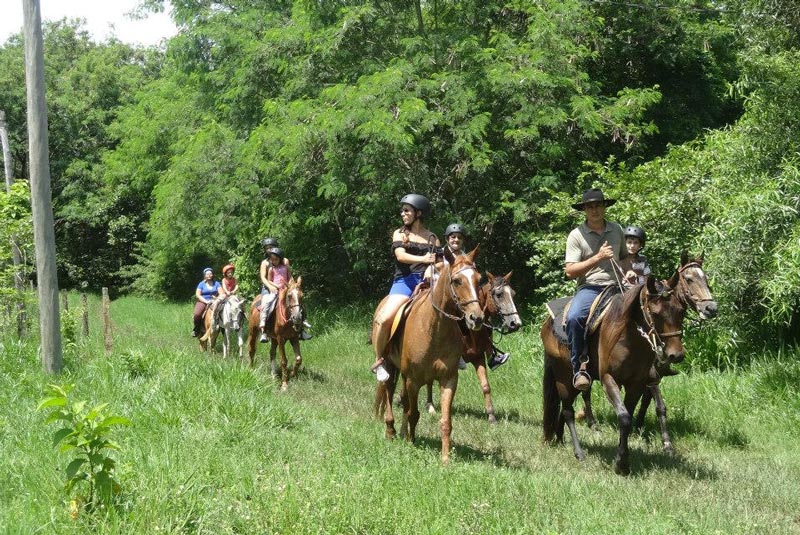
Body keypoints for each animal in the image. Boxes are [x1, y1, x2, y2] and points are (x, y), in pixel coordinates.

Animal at [374, 249, 482, 462]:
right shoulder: (414, 380)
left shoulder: (448, 379)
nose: (477, 318)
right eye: (457, 280)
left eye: (478, 279)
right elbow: (413, 413)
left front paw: (445, 458)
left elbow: (445, 421)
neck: (434, 328)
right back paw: (390, 430)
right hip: (389, 364)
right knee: (389, 391)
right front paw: (411, 443)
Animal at [422, 272, 520, 422]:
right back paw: (430, 406)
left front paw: (491, 416)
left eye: (513, 294)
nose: (516, 323)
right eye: (499, 295)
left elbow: (485, 386)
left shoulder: (478, 357)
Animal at [544, 274, 688, 476]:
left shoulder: (637, 384)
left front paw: (622, 458)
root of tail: (547, 323)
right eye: (655, 313)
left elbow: (628, 416)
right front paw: (622, 463)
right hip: (563, 377)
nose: (676, 355)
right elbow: (624, 418)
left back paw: (558, 438)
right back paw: (578, 452)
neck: (628, 337)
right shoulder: (608, 380)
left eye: (681, 311)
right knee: (568, 411)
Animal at [576, 253, 720, 454]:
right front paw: (663, 441)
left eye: (705, 279)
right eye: (689, 279)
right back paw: (592, 423)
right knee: (586, 391)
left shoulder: (652, 376)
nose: (711, 308)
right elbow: (657, 404)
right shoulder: (650, 375)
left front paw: (641, 428)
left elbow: (651, 404)